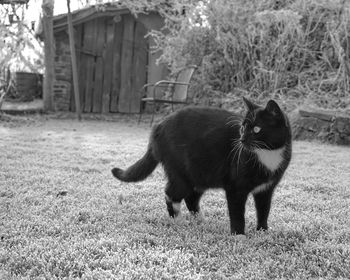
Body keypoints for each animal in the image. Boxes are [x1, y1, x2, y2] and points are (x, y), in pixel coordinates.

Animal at [112, 98, 292, 234]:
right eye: (243, 127)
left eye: (256, 129)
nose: (241, 140)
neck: (267, 155)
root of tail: (158, 126)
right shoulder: (235, 189)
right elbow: (237, 213)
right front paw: (239, 235)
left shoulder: (266, 189)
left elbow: (264, 210)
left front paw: (263, 231)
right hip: (181, 172)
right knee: (171, 193)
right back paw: (177, 220)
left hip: (200, 174)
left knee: (191, 198)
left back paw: (200, 220)